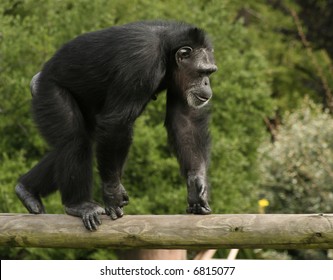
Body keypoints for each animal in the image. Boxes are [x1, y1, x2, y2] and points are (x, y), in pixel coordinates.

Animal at [15, 20, 217, 230]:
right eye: (202, 72)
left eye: (210, 72)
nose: (206, 83)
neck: (167, 53)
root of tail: (37, 79)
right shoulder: (140, 64)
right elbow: (117, 123)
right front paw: (113, 193)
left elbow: (186, 120)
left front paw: (196, 186)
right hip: (49, 93)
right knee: (74, 141)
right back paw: (78, 204)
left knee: (75, 143)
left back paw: (27, 190)